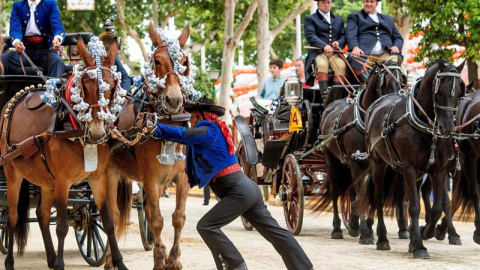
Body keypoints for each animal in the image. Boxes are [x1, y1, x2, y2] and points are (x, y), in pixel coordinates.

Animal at [0, 36, 129, 270]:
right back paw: (10, 262)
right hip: (12, 171)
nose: (97, 131)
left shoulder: (97, 178)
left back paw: (51, 258)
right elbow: (61, 226)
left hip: (44, 178)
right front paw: (60, 264)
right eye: (84, 87)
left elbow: (108, 221)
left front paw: (120, 262)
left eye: (112, 87)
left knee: (42, 214)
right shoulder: (63, 181)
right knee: (12, 217)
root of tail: (17, 97)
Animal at [107, 23, 193, 270]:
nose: (174, 100)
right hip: (108, 174)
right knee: (111, 216)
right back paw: (109, 259)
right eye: (156, 61)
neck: (169, 122)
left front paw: (173, 259)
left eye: (185, 62)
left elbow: (178, 218)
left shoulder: (182, 178)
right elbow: (155, 220)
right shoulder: (151, 179)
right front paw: (160, 260)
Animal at [316, 60, 408, 244]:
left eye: (402, 79)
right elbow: (362, 192)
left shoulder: (377, 163)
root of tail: (330, 106)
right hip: (332, 160)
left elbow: (372, 193)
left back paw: (353, 224)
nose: (395, 107)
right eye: (385, 82)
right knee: (336, 190)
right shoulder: (357, 162)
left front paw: (370, 226)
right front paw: (366, 233)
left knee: (352, 189)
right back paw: (337, 229)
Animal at [362, 59, 464, 258]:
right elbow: (415, 206)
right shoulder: (409, 167)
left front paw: (427, 232)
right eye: (439, 91)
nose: (447, 127)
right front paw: (419, 247)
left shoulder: (439, 170)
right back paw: (382, 238)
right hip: (378, 163)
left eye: (458, 93)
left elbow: (438, 207)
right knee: (379, 197)